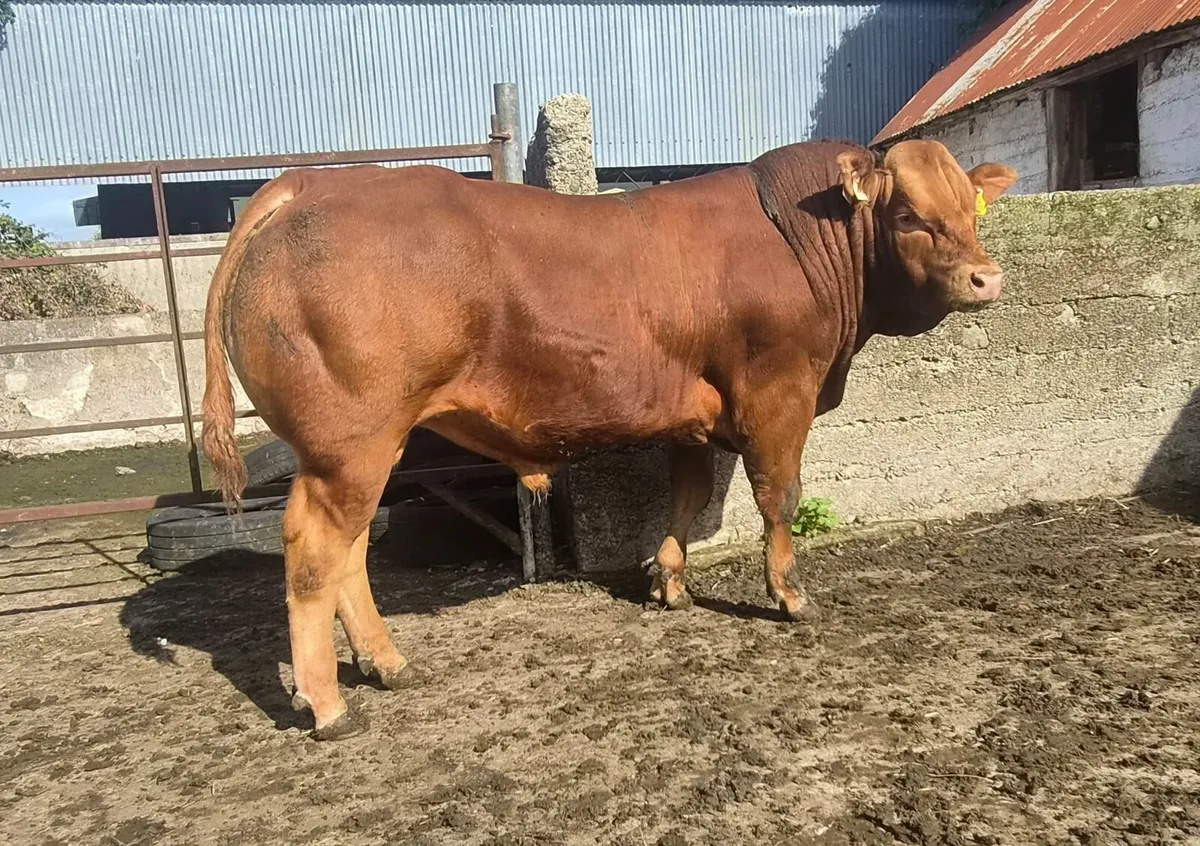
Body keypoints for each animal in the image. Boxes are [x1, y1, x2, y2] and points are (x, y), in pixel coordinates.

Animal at [201, 139, 1018, 739]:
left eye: (970, 207)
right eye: (908, 213)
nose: (987, 279)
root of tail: (308, 185)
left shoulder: (694, 410)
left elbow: (687, 494)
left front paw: (670, 582)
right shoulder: (781, 392)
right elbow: (778, 498)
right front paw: (789, 595)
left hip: (366, 448)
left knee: (352, 552)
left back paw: (386, 663)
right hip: (350, 446)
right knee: (316, 552)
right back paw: (329, 704)